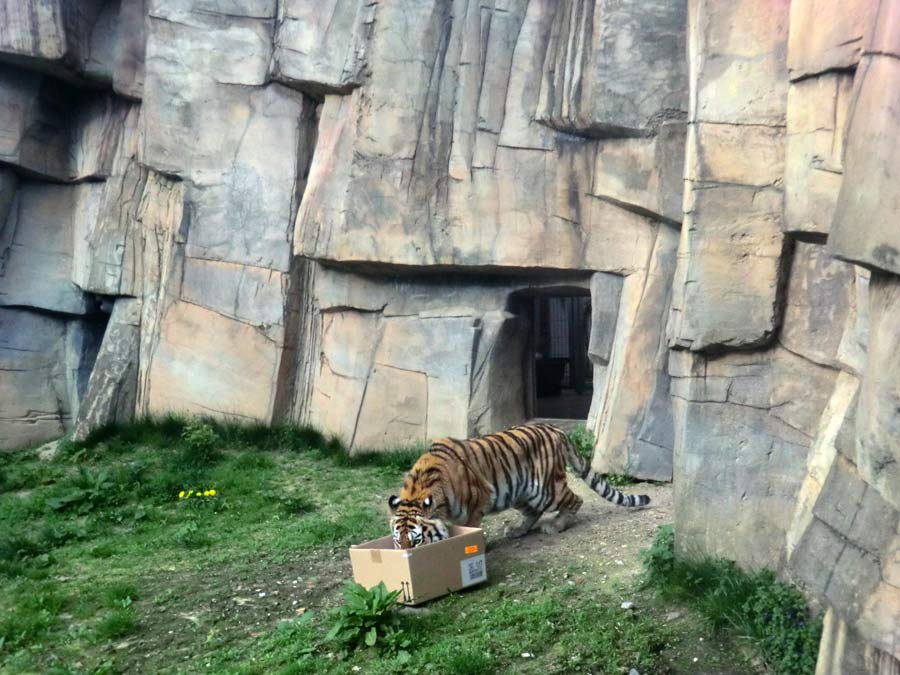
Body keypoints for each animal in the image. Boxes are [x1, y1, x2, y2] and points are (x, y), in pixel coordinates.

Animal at [386, 422, 648, 548]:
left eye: (417, 540)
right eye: (397, 540)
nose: (403, 555)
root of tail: (556, 429)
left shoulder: (478, 500)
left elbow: (470, 527)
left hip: (545, 489)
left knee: (575, 500)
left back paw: (556, 525)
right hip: (519, 492)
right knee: (533, 512)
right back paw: (517, 530)